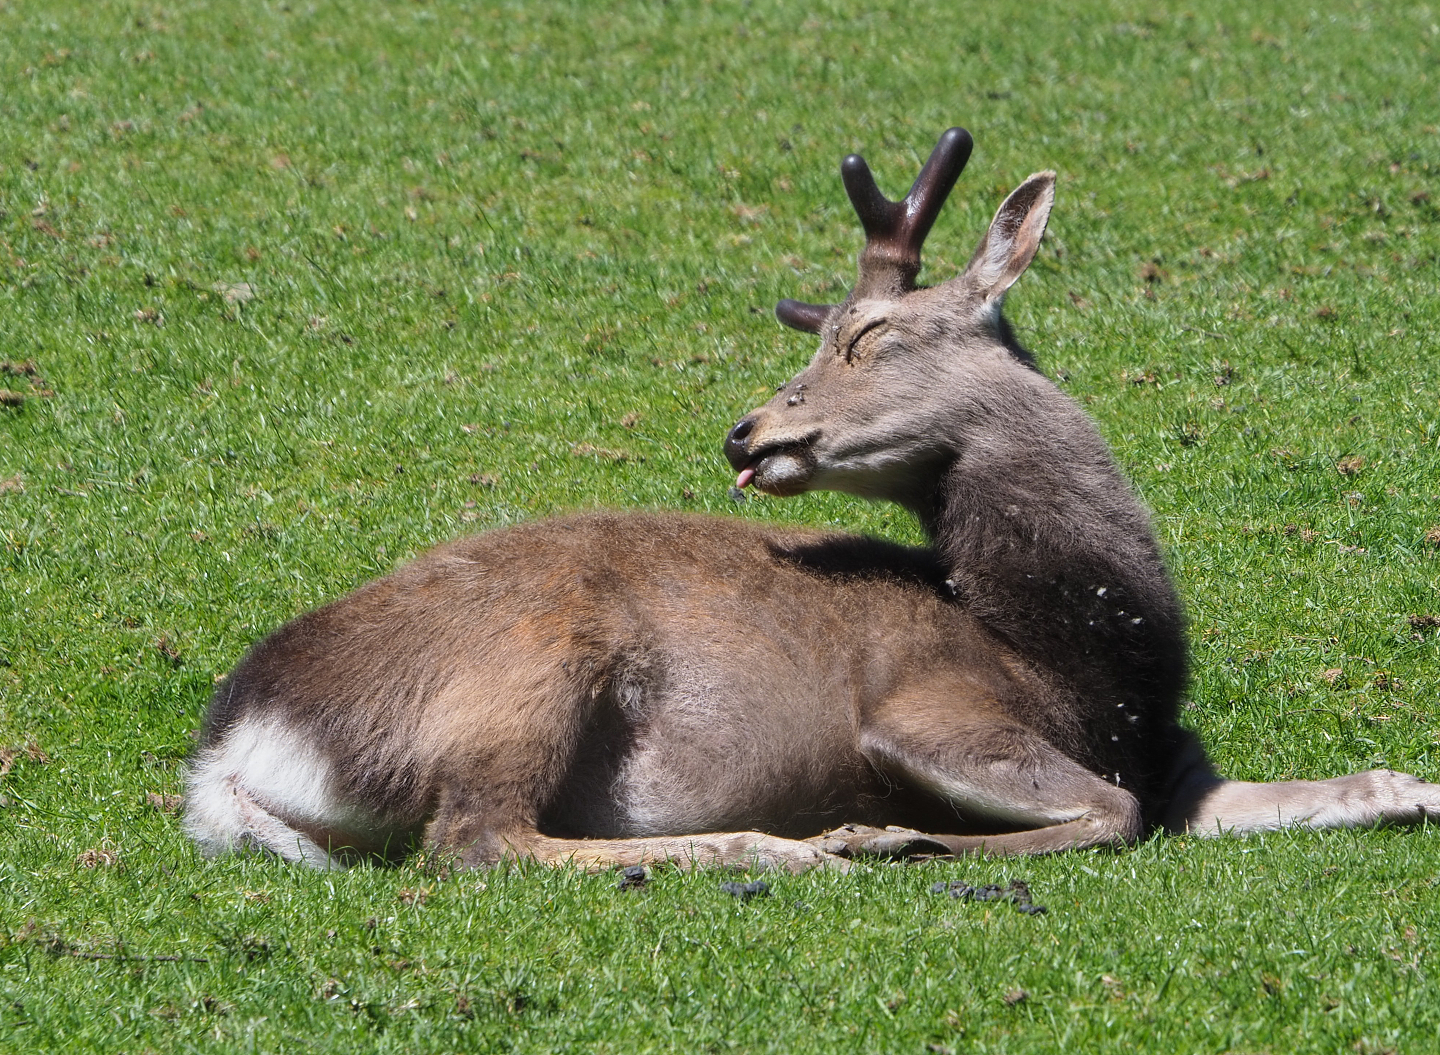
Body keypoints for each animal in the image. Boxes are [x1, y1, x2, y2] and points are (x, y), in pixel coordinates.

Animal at [184, 127, 1440, 873]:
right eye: (831, 330)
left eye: (865, 333)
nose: (746, 428)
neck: (1084, 656)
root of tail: (234, 751)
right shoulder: (925, 706)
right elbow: (1103, 813)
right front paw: (906, 836)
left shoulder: (1177, 766)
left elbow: (1349, 783)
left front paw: (1417, 786)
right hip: (527, 670)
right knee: (477, 836)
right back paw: (783, 843)